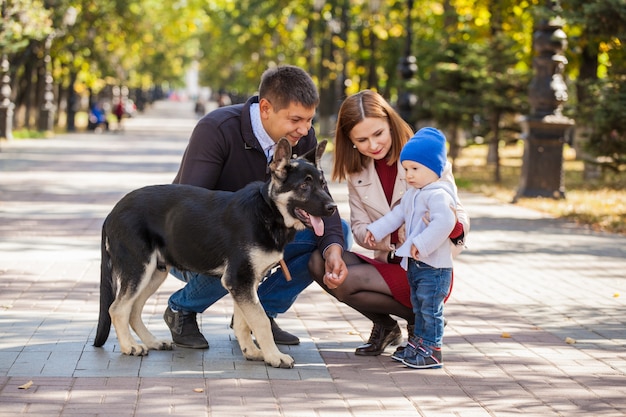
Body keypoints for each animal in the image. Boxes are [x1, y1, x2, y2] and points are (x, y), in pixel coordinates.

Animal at [93, 140, 334, 368]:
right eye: (304, 185)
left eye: (323, 184)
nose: (333, 207)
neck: (268, 210)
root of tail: (111, 213)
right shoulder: (239, 279)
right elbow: (260, 320)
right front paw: (275, 357)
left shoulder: (245, 282)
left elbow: (244, 321)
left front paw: (252, 351)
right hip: (139, 269)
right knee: (117, 308)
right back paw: (129, 346)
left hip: (154, 273)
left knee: (133, 309)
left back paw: (152, 342)